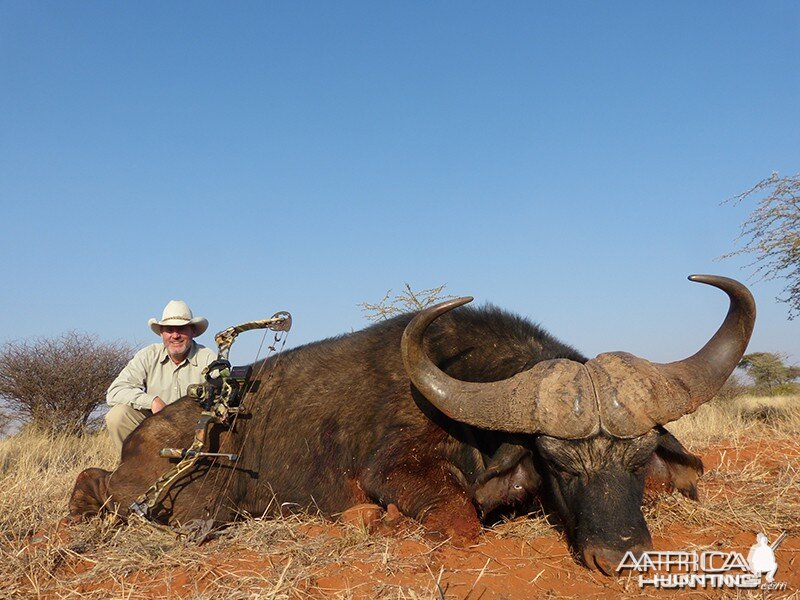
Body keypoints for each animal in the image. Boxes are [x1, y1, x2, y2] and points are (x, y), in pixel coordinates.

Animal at [70, 274, 756, 576]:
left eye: (639, 460)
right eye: (558, 462)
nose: (620, 557)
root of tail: (148, 437)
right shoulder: (393, 472)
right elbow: (461, 521)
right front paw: (377, 521)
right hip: (180, 501)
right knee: (94, 480)